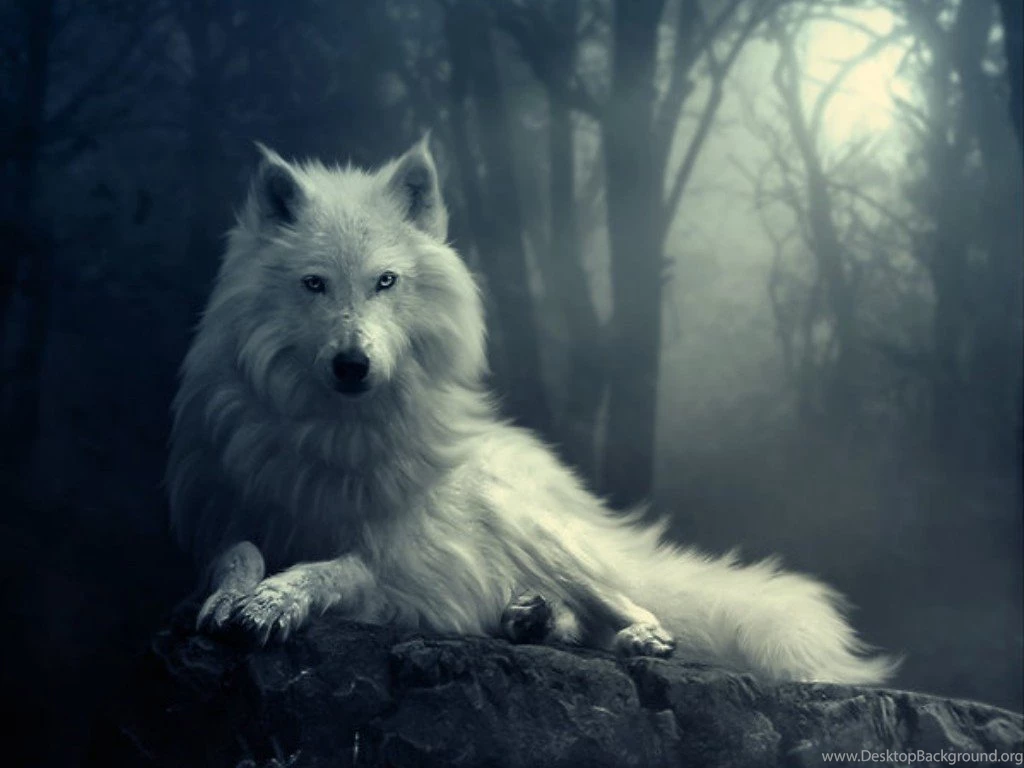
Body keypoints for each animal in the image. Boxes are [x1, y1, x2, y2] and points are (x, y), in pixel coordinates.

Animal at [166, 137, 896, 684]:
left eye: (385, 282)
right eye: (314, 284)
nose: (353, 365)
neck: (336, 434)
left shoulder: (404, 562)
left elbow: (334, 568)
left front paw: (275, 600)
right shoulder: (221, 515)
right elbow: (237, 553)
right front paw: (233, 596)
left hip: (535, 530)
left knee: (634, 606)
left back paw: (633, 637)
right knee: (566, 616)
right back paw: (530, 617)